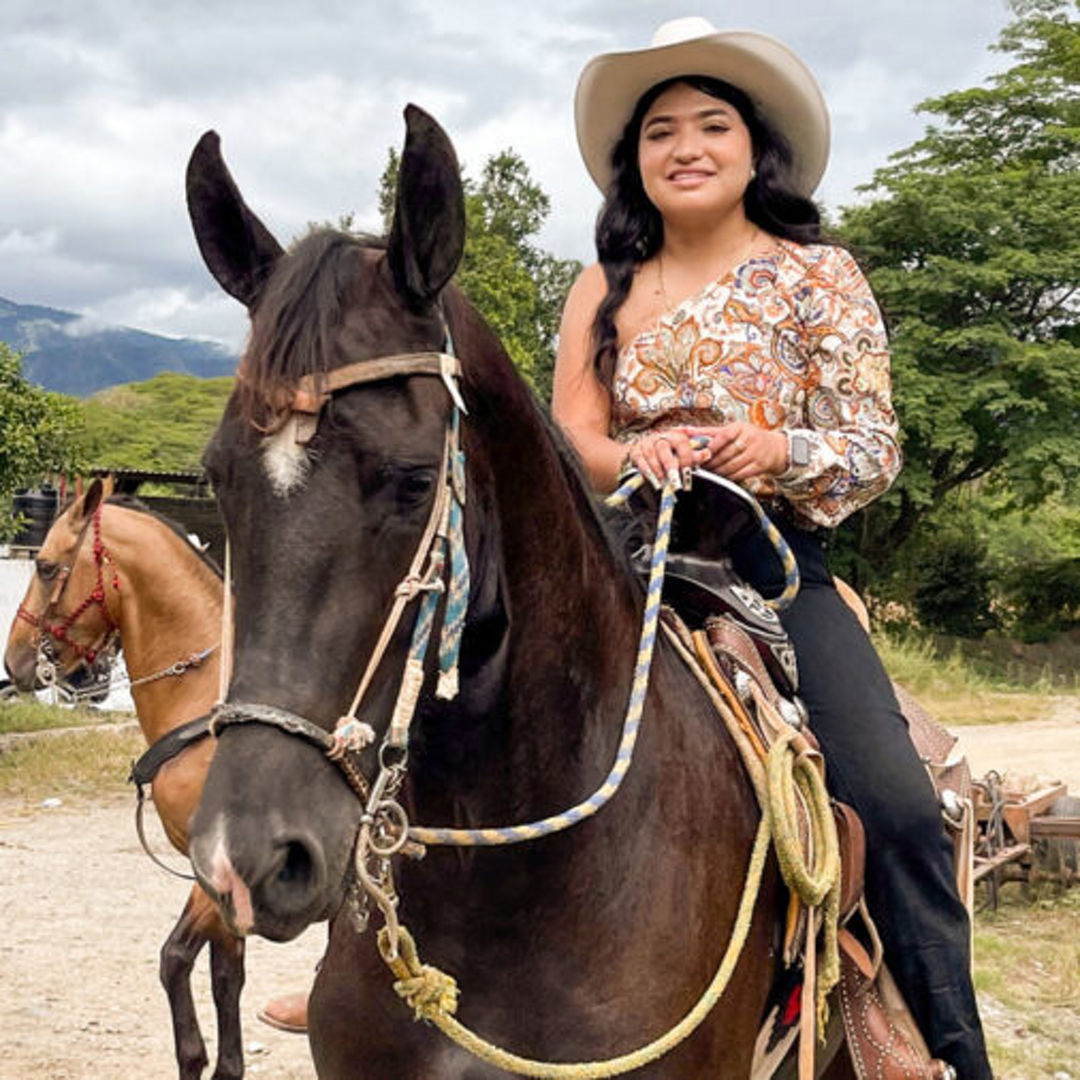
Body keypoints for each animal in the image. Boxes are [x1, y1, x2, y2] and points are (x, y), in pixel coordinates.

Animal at [3, 488, 247, 1080]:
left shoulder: (221, 874)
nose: (14, 660)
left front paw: (197, 1058)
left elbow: (179, 961)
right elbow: (219, 975)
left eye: (46, 567)